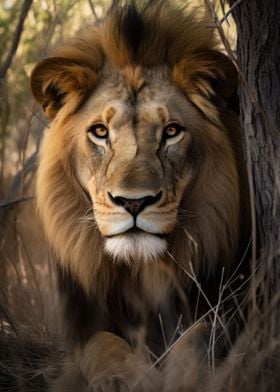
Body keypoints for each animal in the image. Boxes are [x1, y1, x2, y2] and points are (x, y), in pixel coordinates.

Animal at [30, 1, 252, 390]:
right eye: (100, 132)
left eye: (172, 131)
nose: (133, 203)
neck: (143, 271)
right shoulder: (83, 325)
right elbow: (101, 345)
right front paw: (125, 378)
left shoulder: (234, 298)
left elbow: (200, 337)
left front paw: (179, 378)